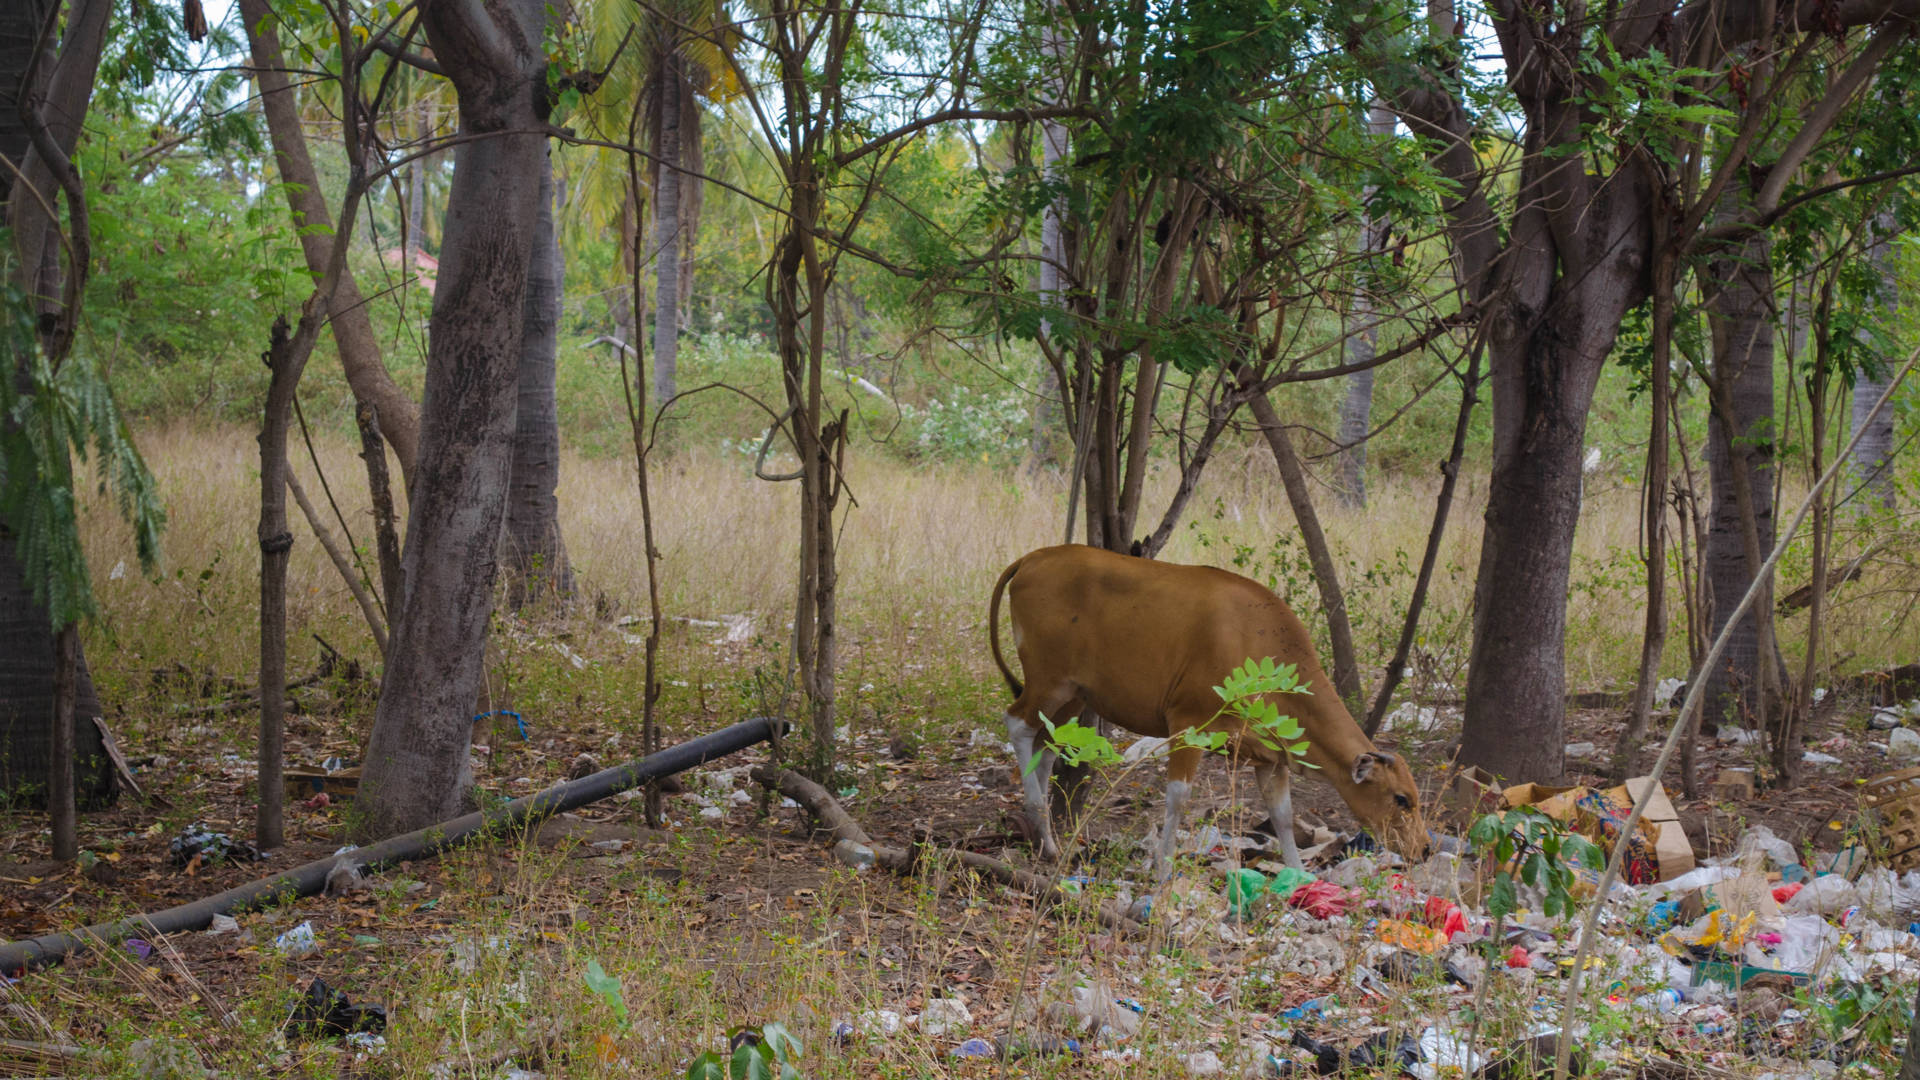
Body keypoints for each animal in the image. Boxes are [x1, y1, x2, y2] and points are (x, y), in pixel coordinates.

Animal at [990, 545, 1428, 876]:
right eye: (1401, 799)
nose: (1423, 849)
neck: (1258, 644)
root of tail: (1033, 557)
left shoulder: (1271, 758)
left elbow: (1283, 815)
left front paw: (1297, 875)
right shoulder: (1187, 723)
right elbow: (1179, 798)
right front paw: (1164, 869)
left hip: (1075, 695)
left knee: (1046, 744)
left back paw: (1047, 840)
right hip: (1049, 678)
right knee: (1017, 723)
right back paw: (1038, 819)